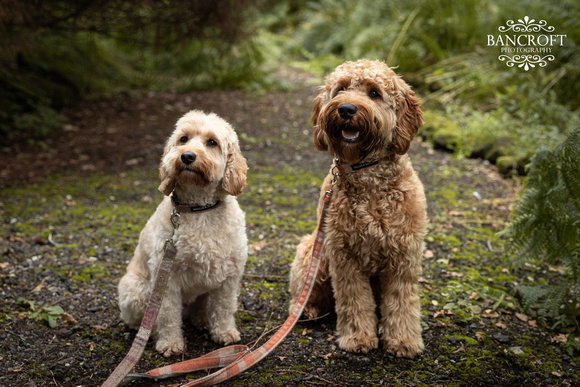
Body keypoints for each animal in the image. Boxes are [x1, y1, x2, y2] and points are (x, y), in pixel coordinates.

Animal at [288, 59, 426, 360]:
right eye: (340, 89)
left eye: (374, 93)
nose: (346, 109)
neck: (367, 173)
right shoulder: (344, 255)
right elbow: (354, 301)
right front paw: (358, 338)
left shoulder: (404, 256)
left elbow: (401, 303)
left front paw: (403, 341)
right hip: (311, 251)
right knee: (308, 292)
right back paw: (306, 310)